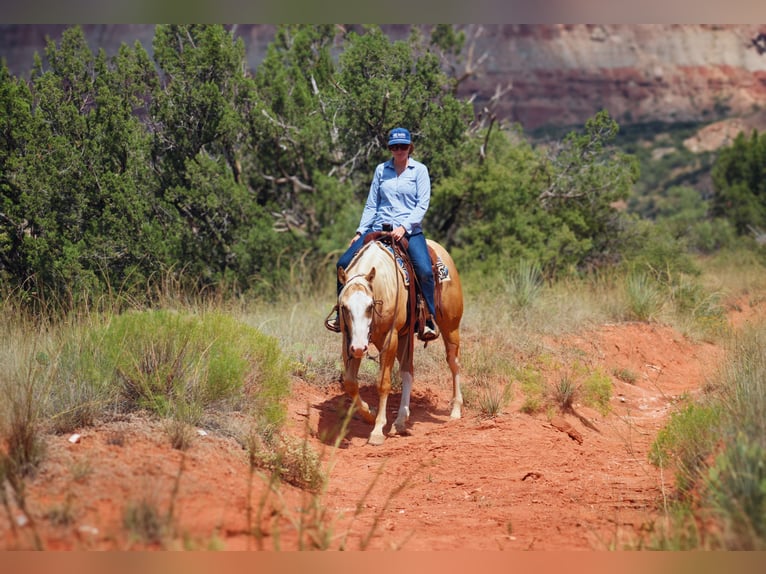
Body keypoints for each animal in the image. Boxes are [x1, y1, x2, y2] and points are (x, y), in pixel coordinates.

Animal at [336, 235, 463, 446]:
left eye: (370, 306)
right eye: (344, 307)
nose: (360, 348)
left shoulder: (390, 338)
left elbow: (383, 383)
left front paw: (377, 430)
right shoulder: (350, 339)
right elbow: (350, 383)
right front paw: (369, 413)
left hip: (450, 327)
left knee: (454, 363)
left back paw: (456, 410)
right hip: (404, 337)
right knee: (408, 371)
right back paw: (401, 420)